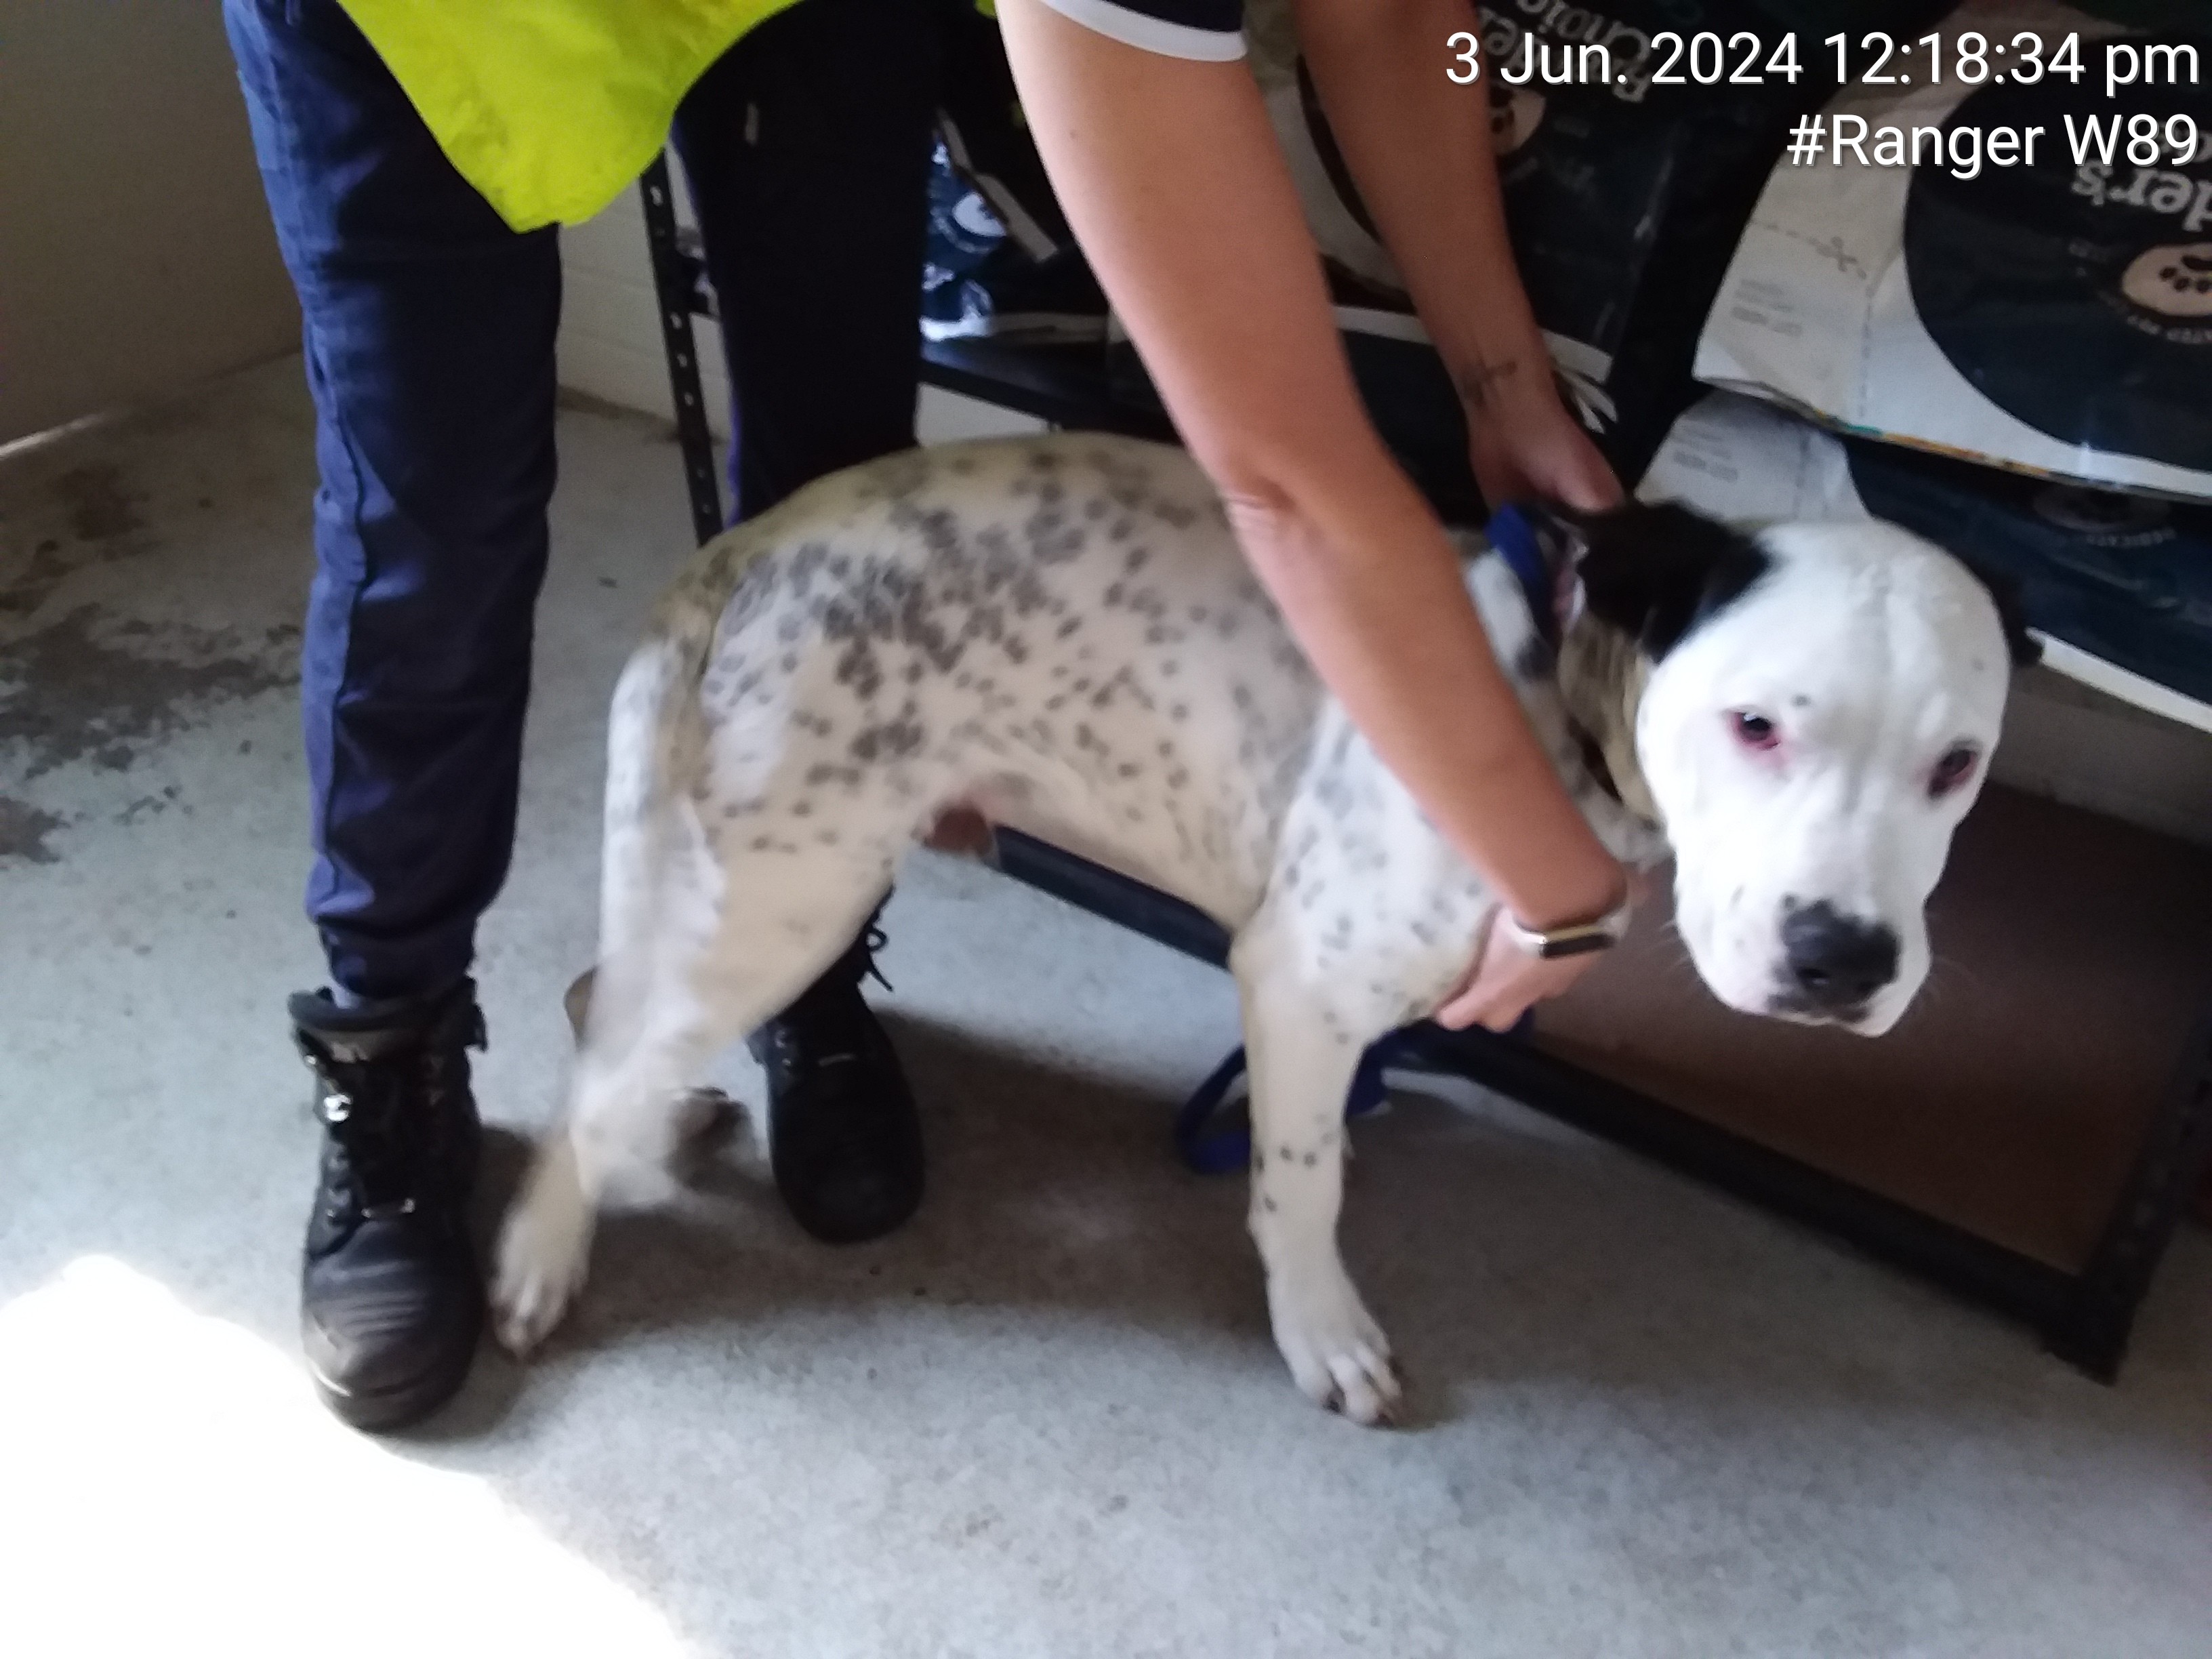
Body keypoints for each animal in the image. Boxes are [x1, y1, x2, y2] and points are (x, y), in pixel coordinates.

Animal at [493, 431, 2026, 1433]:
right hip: (791, 895)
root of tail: (743, 548)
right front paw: (1322, 1324)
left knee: (599, 1005)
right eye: (1755, 725)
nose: (1842, 961)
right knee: (591, 1075)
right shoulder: (1298, 981)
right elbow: (1304, 1184)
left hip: (738, 888)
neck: (1545, 703)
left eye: (1957, 765)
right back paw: (541, 1254)